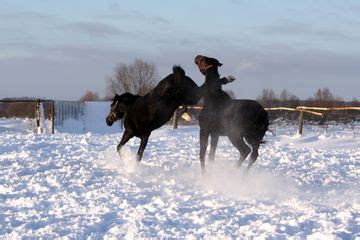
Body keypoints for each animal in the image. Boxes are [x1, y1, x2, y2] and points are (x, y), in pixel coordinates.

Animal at [105, 65, 233, 161]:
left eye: (114, 106)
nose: (108, 121)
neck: (134, 110)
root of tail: (178, 76)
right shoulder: (128, 133)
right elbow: (119, 147)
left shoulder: (145, 136)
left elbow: (138, 155)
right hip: (187, 98)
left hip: (192, 96)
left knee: (204, 87)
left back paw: (227, 78)